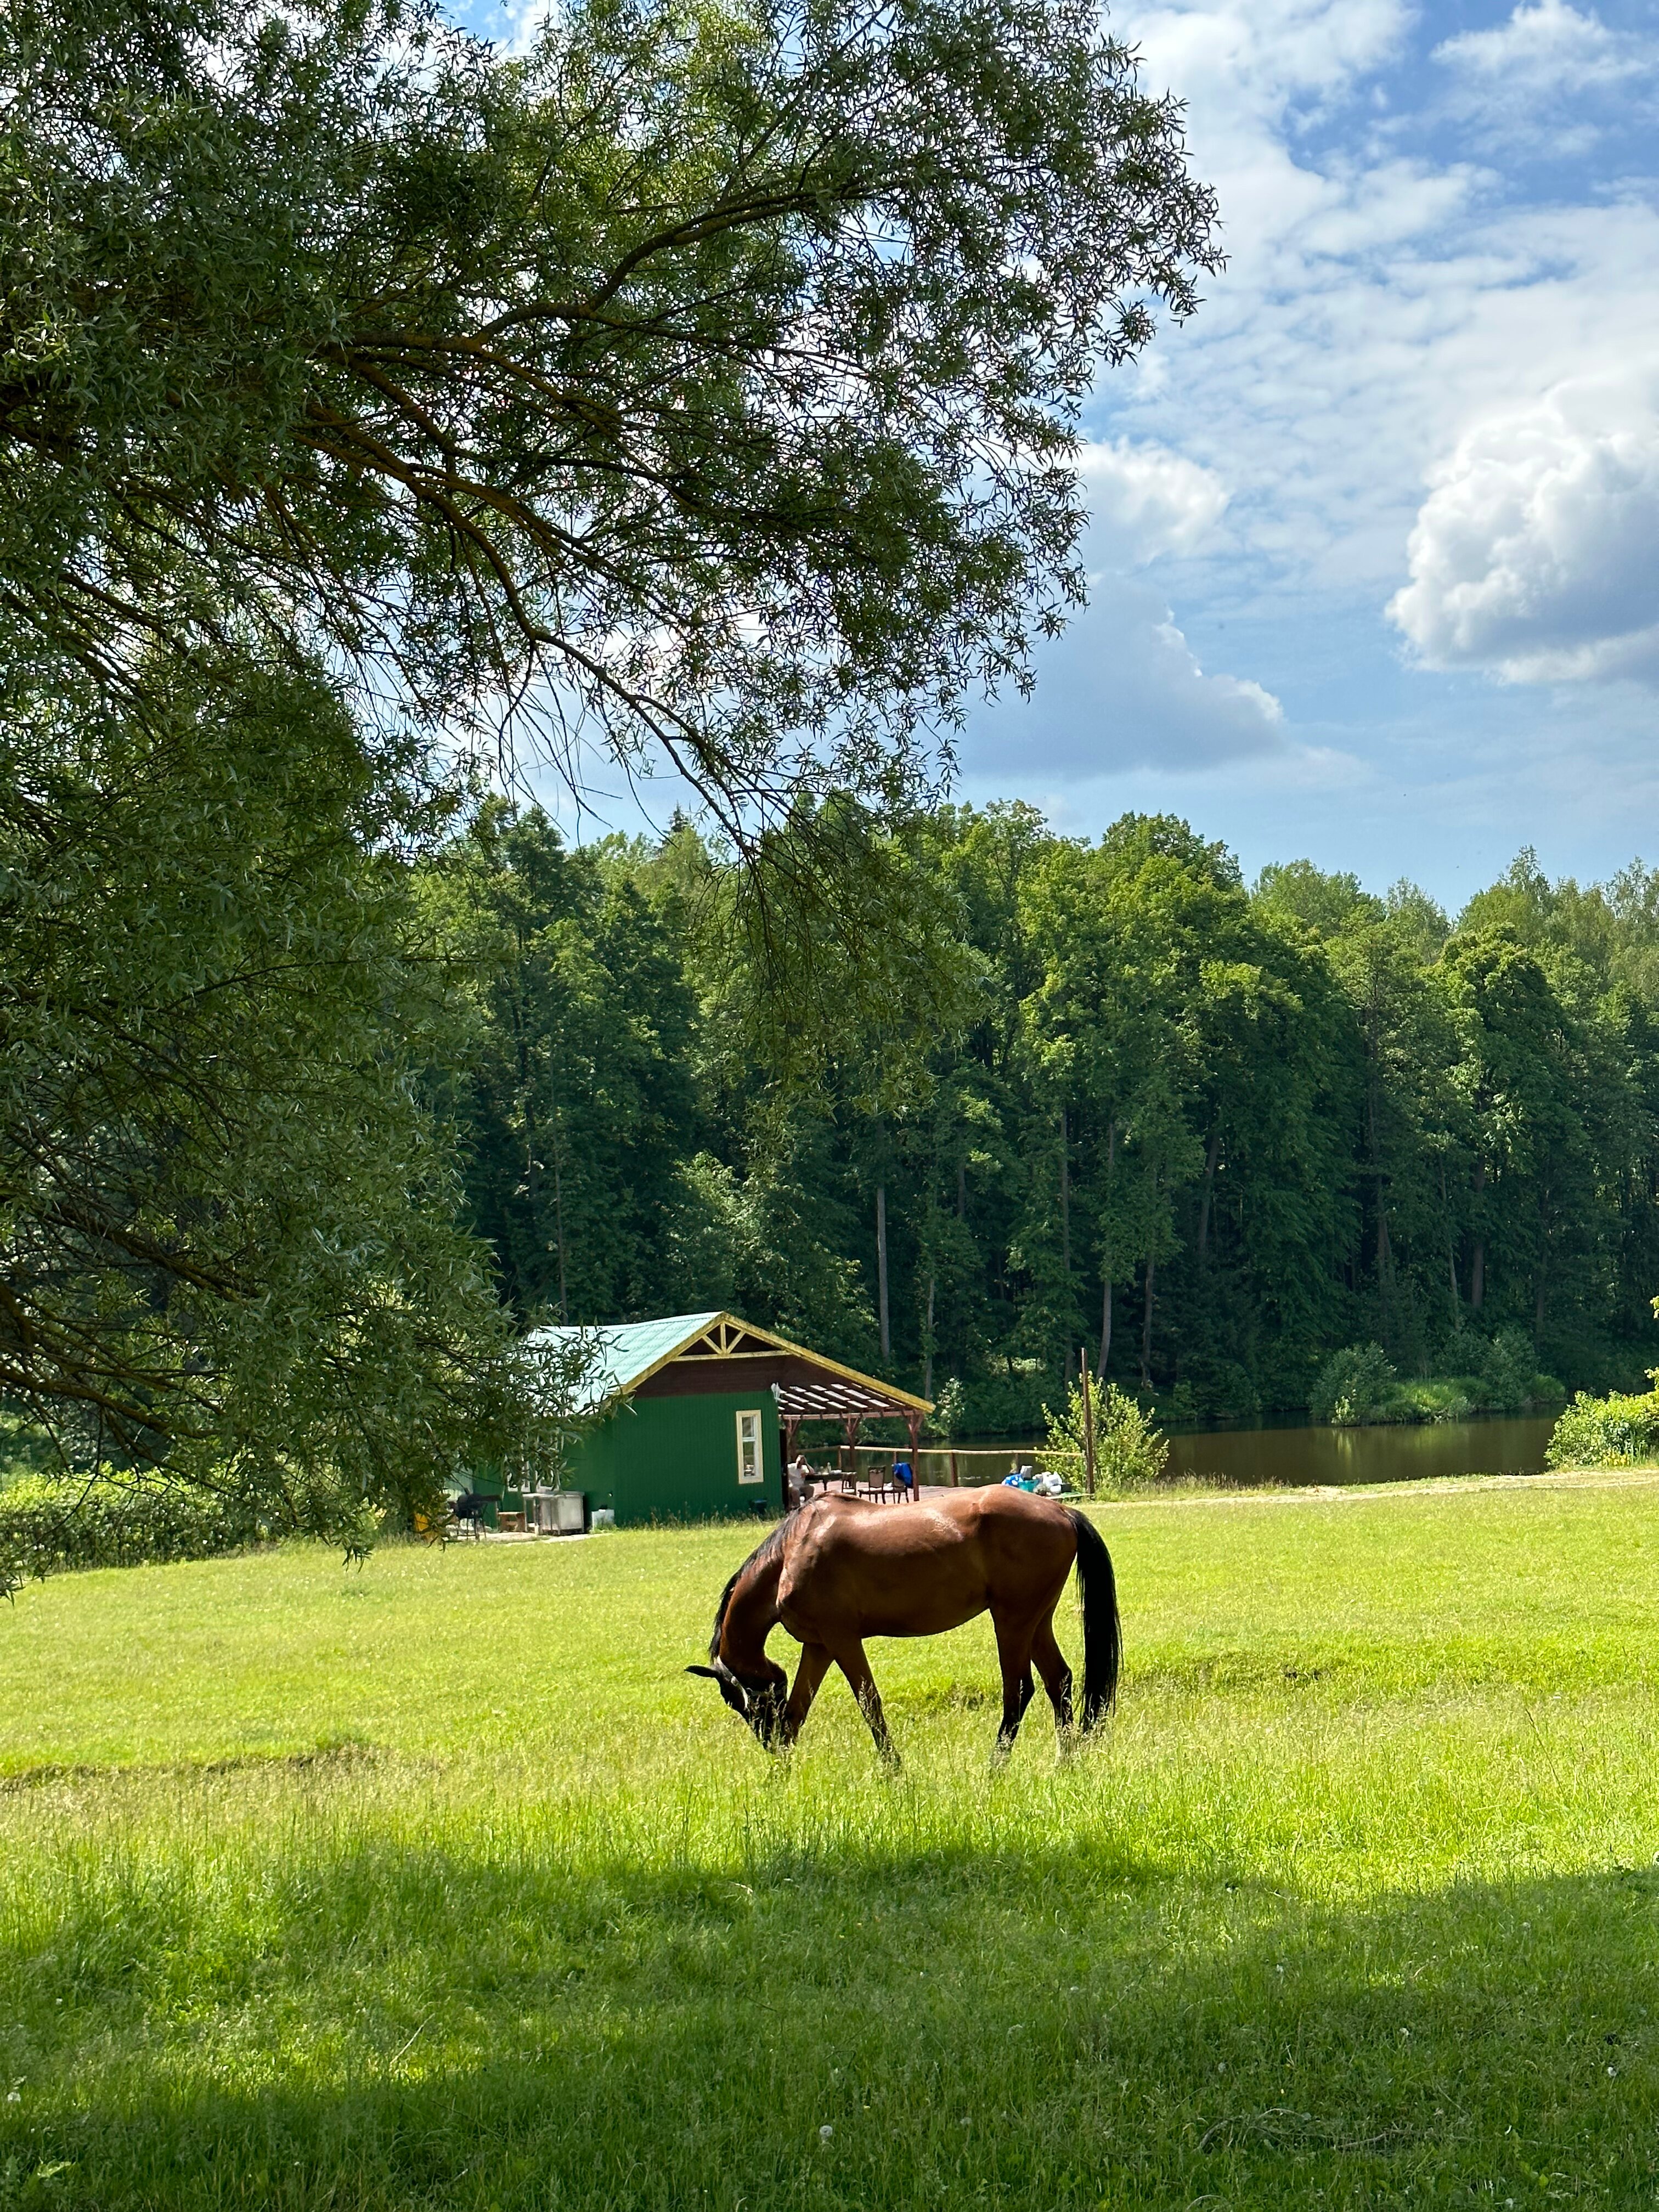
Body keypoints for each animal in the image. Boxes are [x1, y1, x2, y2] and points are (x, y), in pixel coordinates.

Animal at [681, 1486, 1124, 1760]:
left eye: (738, 1700)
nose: (767, 1744)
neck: (792, 1554)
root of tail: (1061, 1510)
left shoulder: (842, 1640)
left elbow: (870, 1704)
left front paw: (895, 1772)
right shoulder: (819, 1646)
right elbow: (796, 1714)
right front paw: (780, 1776)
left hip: (1012, 1622)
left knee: (1018, 1692)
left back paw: (994, 1770)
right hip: (1036, 1621)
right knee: (1059, 1680)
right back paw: (1065, 1762)